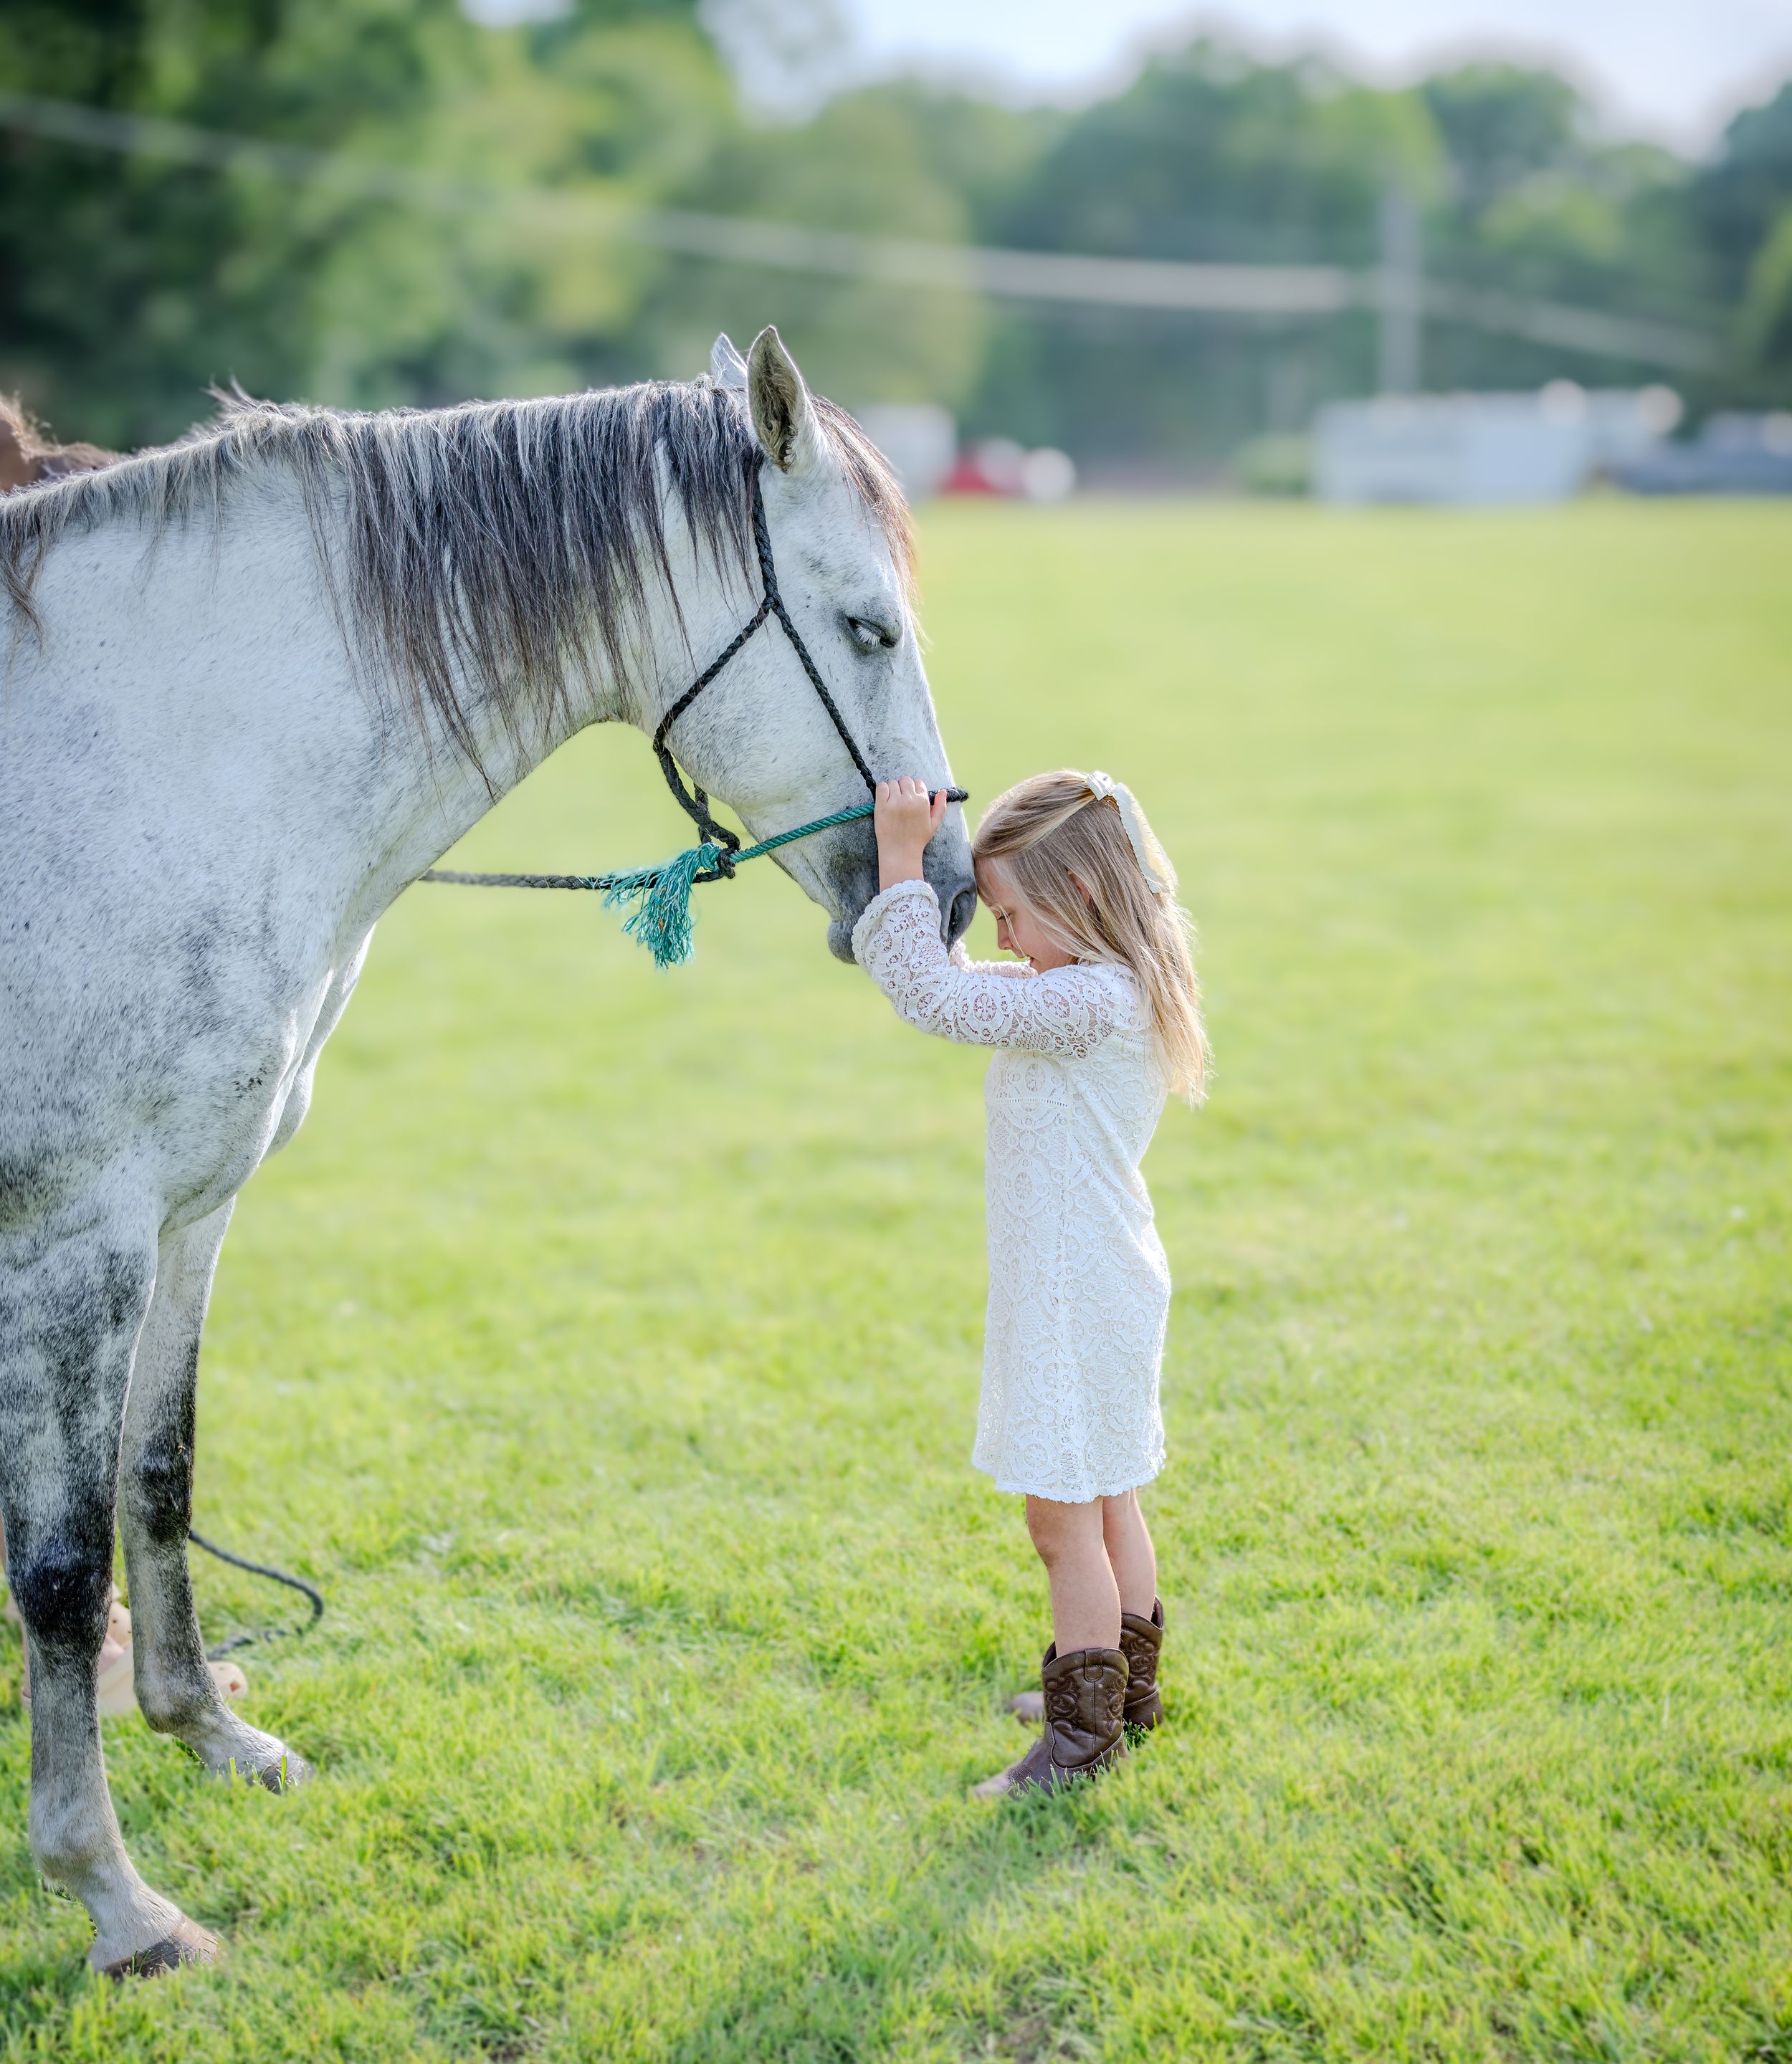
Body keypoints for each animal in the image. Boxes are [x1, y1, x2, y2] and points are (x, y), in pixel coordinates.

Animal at [0, 327, 976, 1976]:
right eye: (865, 626)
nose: (953, 888)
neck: (169, 768)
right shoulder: (76, 1244)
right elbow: (61, 1572)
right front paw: (111, 1894)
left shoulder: (187, 1216)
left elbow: (160, 1474)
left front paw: (204, 1732)